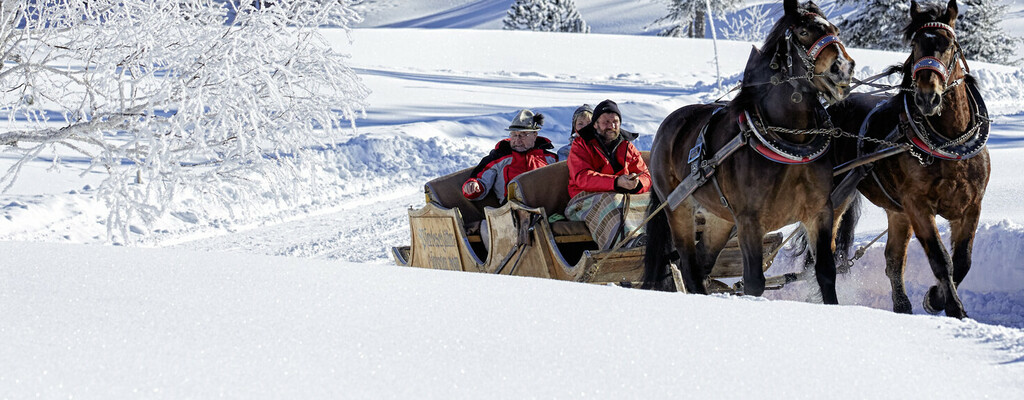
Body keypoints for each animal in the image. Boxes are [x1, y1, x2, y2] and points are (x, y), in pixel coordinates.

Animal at [641, 0, 855, 302]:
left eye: (835, 29)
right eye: (802, 31)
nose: (844, 68)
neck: (791, 144)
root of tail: (667, 127)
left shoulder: (819, 212)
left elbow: (826, 271)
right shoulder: (750, 221)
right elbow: (754, 282)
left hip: (718, 220)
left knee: (702, 263)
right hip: (678, 208)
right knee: (688, 264)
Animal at [831, 0, 990, 319]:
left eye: (950, 44)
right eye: (916, 45)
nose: (928, 97)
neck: (951, 145)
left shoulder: (971, 206)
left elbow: (963, 261)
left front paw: (935, 298)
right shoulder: (918, 205)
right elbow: (941, 259)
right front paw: (953, 307)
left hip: (897, 213)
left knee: (893, 260)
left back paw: (903, 307)